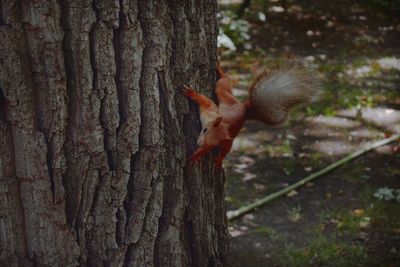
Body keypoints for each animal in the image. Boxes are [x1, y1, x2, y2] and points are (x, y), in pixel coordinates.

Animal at [184, 61, 322, 169]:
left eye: (212, 144)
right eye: (205, 130)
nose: (198, 143)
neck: (220, 123)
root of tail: (244, 109)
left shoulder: (218, 139)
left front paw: (196, 155)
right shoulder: (210, 111)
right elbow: (206, 101)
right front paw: (192, 93)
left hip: (228, 128)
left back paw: (220, 158)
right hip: (226, 97)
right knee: (223, 84)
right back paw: (220, 71)